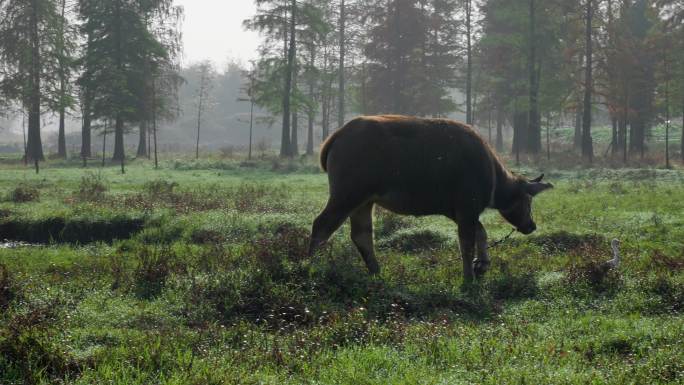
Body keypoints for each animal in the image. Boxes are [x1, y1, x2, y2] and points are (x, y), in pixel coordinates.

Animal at [308, 115, 552, 280]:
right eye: (527, 200)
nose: (531, 225)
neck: (492, 176)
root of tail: (335, 137)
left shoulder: (454, 210)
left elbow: (481, 232)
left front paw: (482, 264)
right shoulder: (467, 206)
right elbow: (466, 243)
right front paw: (469, 277)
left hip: (365, 201)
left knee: (361, 235)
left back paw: (377, 272)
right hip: (347, 194)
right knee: (321, 225)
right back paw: (310, 264)